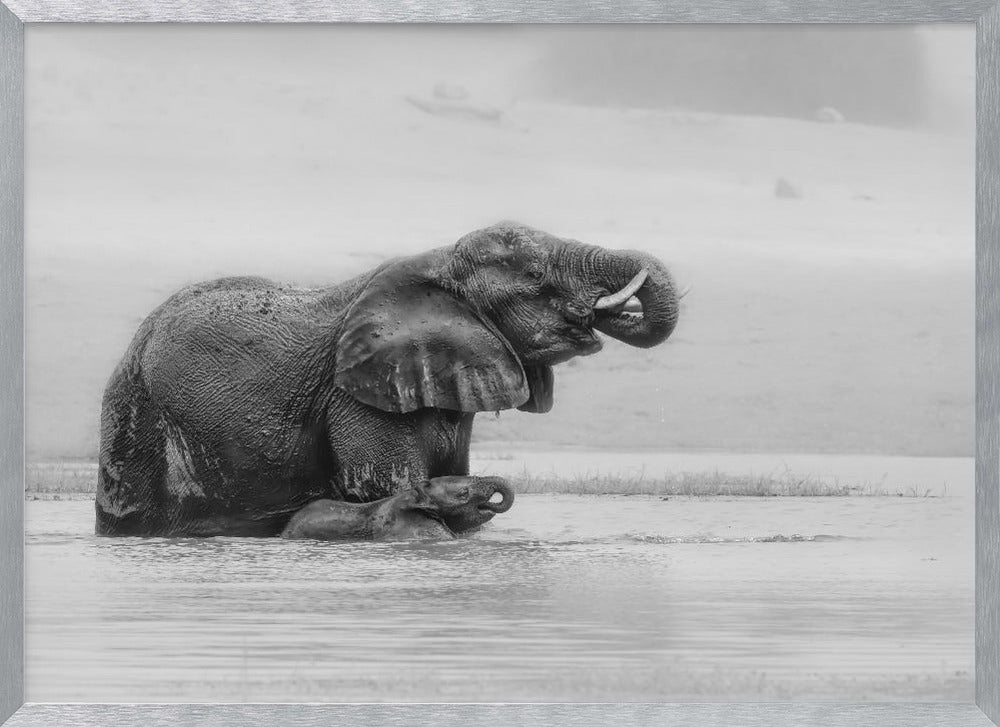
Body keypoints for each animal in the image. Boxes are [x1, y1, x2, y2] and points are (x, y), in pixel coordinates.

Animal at [95, 219, 680, 536]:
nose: (601, 310)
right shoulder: (357, 393)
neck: (440, 263)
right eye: (535, 277)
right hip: (137, 409)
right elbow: (383, 484)